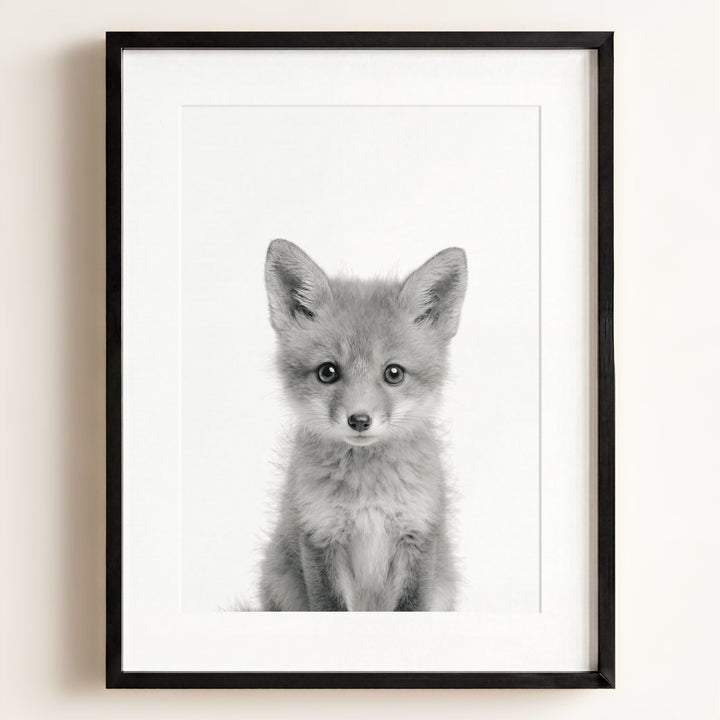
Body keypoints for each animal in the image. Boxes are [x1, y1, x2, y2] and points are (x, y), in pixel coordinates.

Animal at [259, 238, 467, 611]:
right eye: (328, 372)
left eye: (394, 373)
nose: (359, 420)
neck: (368, 493)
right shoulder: (320, 535)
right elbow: (330, 606)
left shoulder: (418, 534)